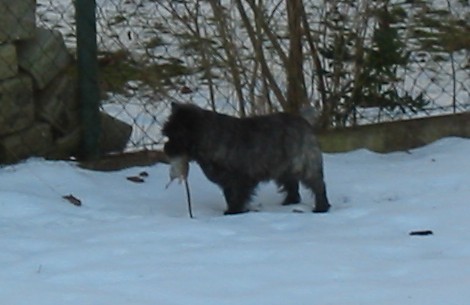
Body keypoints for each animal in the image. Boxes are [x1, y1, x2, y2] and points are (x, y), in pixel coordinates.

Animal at [162, 102, 330, 214]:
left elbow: (236, 196)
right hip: (283, 169)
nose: (166, 150)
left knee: (318, 185)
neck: (210, 137)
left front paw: (233, 212)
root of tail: (303, 120)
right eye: (167, 134)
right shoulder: (228, 182)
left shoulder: (239, 179)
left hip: (304, 165)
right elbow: (229, 196)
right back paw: (289, 202)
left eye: (176, 135)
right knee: (292, 185)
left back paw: (321, 208)